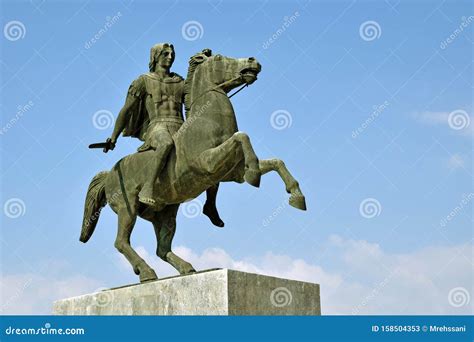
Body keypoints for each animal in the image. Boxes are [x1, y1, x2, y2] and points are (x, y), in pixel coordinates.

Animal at [79, 52, 306, 284]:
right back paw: (147, 272)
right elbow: (241, 137)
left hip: (166, 213)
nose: (253, 61)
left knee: (162, 248)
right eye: (219, 58)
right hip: (128, 208)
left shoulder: (232, 173)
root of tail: (110, 174)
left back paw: (186, 267)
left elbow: (275, 161)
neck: (206, 121)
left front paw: (296, 195)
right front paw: (255, 175)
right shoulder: (207, 162)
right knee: (121, 242)